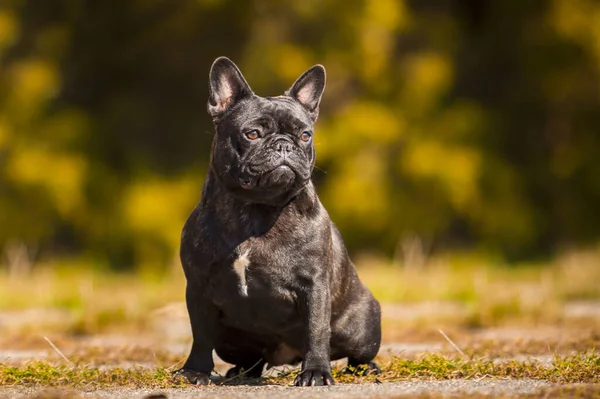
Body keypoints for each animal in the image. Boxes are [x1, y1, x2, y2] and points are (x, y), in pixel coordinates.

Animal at [176, 57, 380, 388]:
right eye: (252, 134)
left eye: (306, 135)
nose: (285, 145)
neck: (257, 209)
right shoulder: (198, 286)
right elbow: (200, 334)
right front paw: (195, 371)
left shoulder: (314, 286)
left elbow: (316, 329)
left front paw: (316, 372)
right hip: (229, 341)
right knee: (251, 359)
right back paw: (240, 371)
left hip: (361, 331)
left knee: (358, 353)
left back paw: (366, 369)